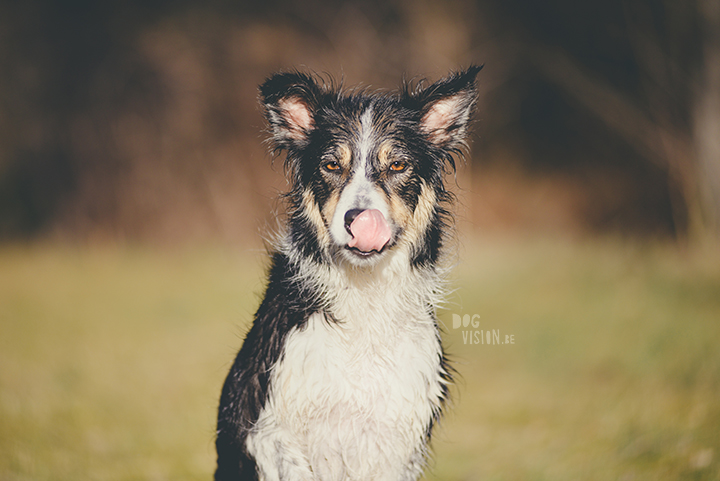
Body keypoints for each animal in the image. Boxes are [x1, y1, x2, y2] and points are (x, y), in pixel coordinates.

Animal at [215, 64, 484, 480]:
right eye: (331, 165)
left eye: (397, 165)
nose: (358, 219)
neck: (363, 289)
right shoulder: (268, 426)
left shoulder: (398, 432)